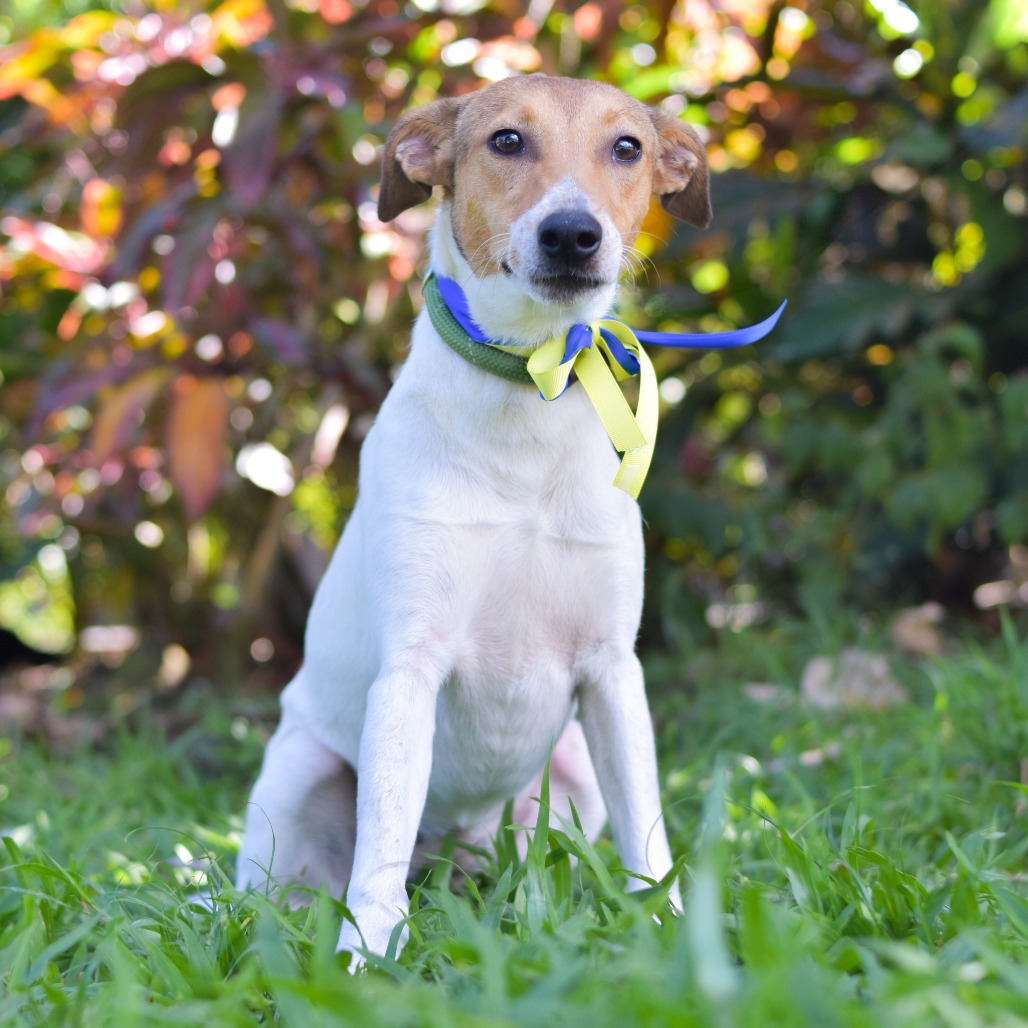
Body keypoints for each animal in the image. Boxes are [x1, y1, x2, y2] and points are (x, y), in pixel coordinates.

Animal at [236, 74, 711, 962]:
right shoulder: (410, 670)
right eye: (506, 141)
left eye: (628, 147)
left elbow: (648, 830)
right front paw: (366, 955)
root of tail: (451, 857)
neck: (529, 387)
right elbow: (380, 845)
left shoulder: (613, 673)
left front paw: (670, 928)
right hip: (296, 775)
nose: (572, 234)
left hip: (571, 774)